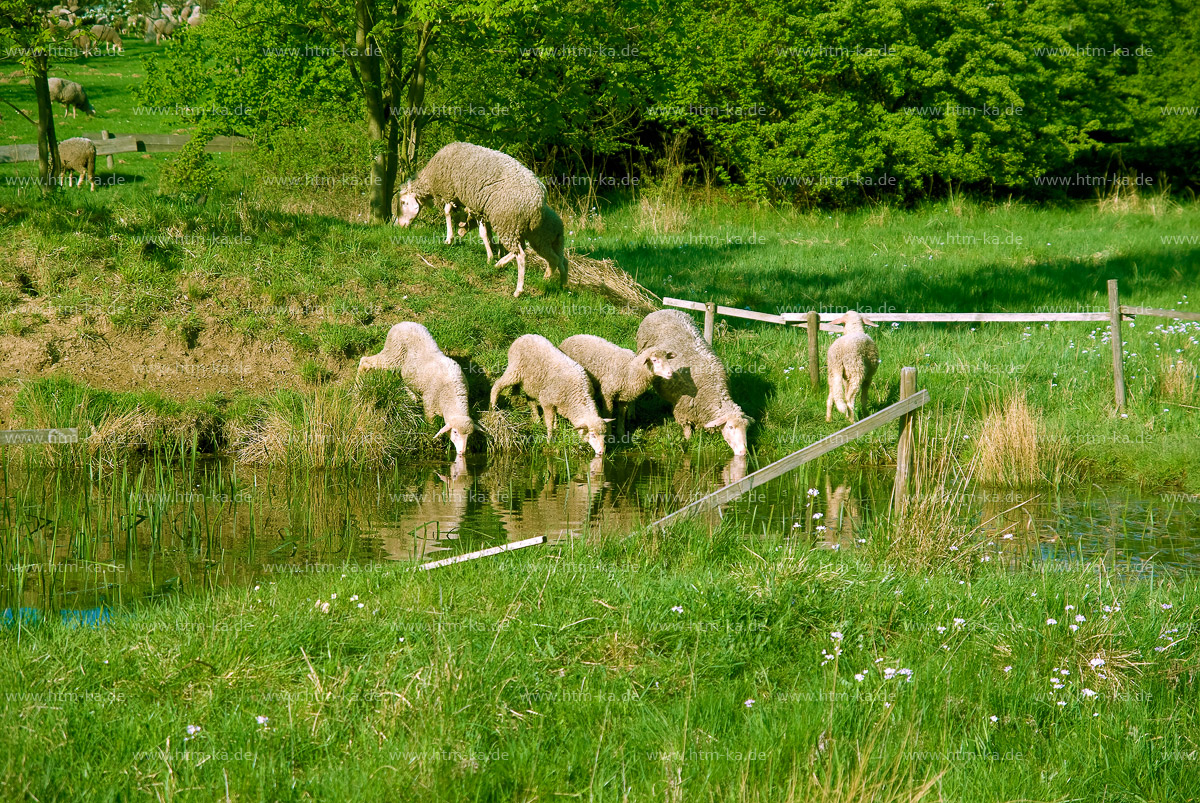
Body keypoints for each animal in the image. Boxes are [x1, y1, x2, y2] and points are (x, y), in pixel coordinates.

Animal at [355, 319, 472, 456]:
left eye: (469, 436)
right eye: (455, 432)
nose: (462, 451)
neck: (451, 393)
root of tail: (401, 323)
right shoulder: (429, 404)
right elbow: (431, 425)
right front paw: (433, 440)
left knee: (402, 376)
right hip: (393, 354)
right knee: (365, 361)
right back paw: (357, 385)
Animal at [391, 141, 564, 297]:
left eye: (403, 202)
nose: (400, 226)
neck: (430, 179)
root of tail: (540, 199)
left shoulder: (449, 191)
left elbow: (448, 213)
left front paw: (449, 238)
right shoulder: (479, 208)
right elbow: (485, 232)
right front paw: (492, 253)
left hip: (508, 222)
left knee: (521, 255)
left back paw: (518, 290)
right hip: (514, 225)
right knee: (522, 249)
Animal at [638, 309, 748, 453]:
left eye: (746, 428)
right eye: (730, 427)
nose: (743, 452)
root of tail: (664, 310)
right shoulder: (684, 407)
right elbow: (686, 430)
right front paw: (688, 441)